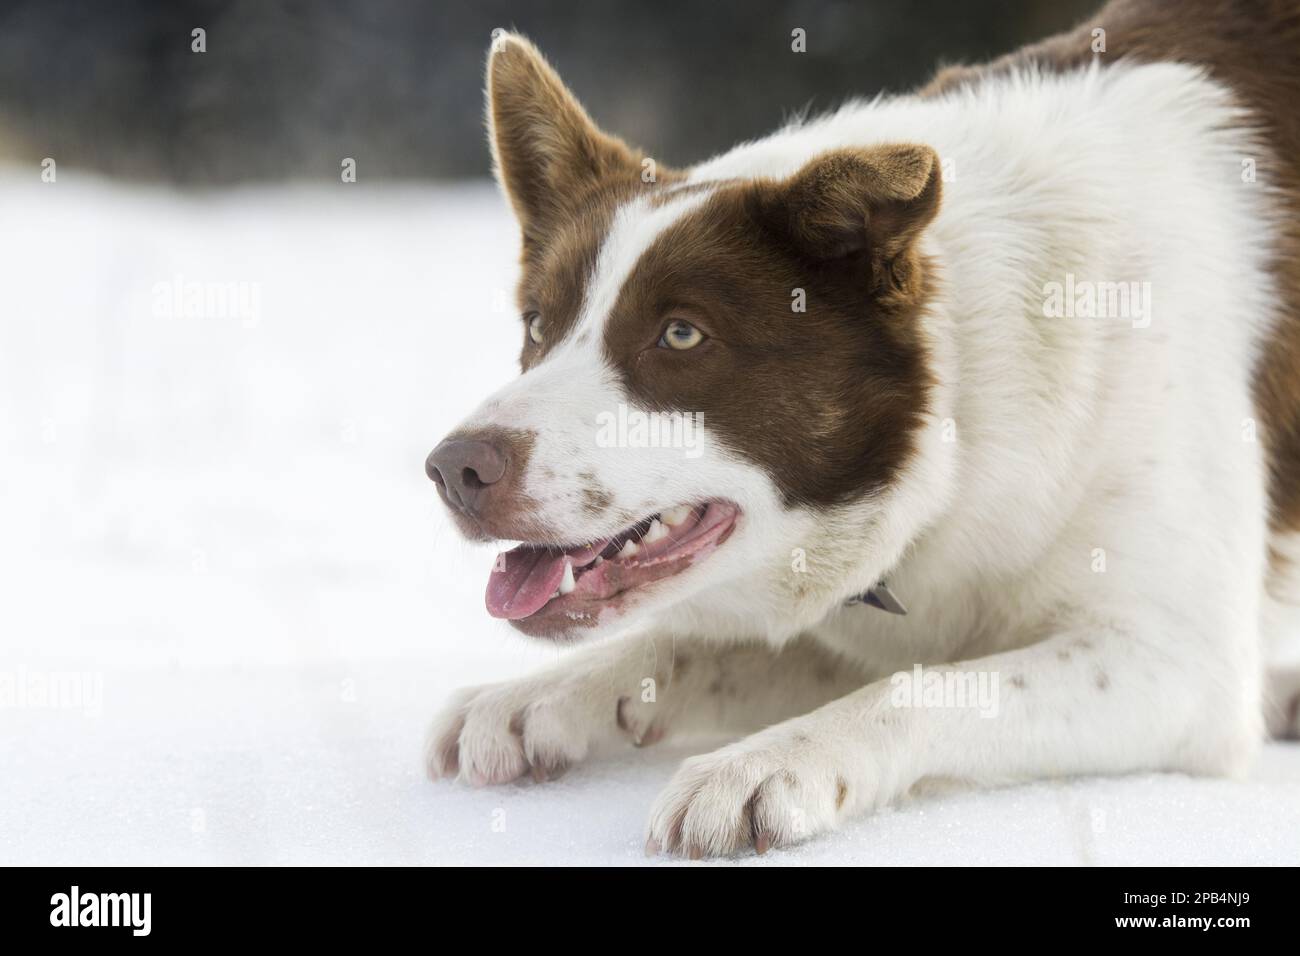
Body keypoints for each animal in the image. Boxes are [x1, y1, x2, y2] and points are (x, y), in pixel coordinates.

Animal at [426, 0, 1300, 858]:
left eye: (680, 335)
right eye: (538, 325)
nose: (453, 470)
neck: (964, 415)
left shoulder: (1179, 668)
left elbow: (932, 682)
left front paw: (766, 763)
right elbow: (697, 645)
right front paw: (540, 696)